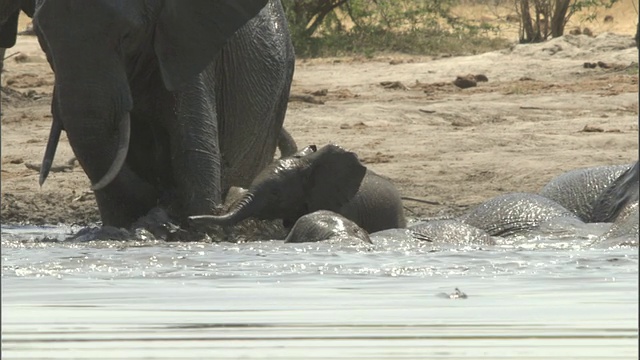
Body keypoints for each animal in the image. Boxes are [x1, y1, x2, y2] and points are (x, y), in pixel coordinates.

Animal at [33, 0, 296, 228]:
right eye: (41, 36)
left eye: (128, 35)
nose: (162, 199)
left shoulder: (187, 46)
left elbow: (194, 149)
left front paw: (197, 224)